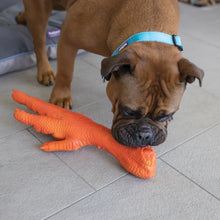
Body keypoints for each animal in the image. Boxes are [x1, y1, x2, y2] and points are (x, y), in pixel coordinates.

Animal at [16, 0, 204, 148]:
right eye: (128, 111)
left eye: (166, 115)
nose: (145, 134)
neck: (150, 27)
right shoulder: (68, 40)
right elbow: (65, 72)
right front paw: (61, 96)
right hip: (40, 10)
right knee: (39, 41)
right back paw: (45, 70)